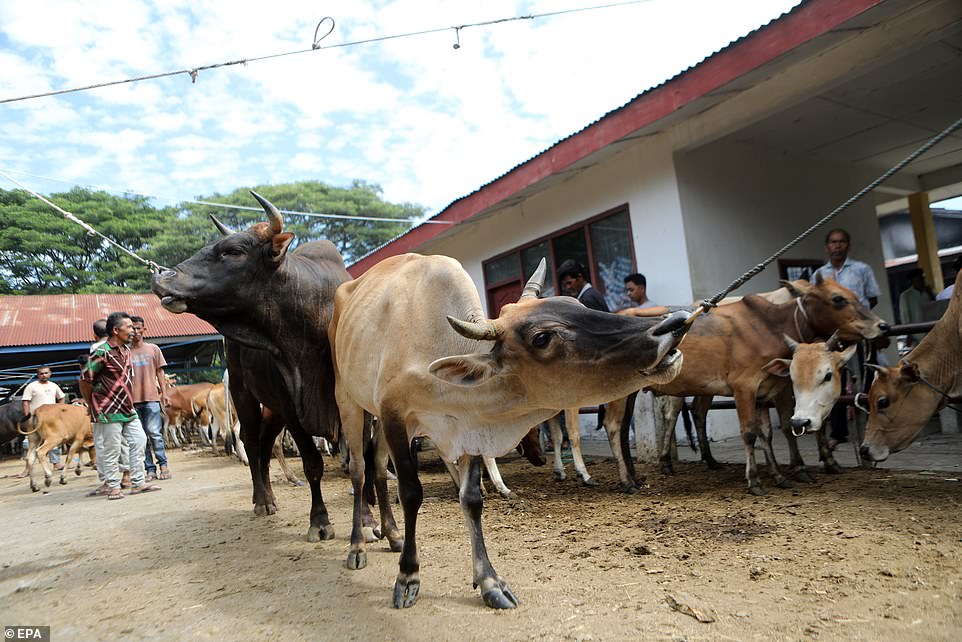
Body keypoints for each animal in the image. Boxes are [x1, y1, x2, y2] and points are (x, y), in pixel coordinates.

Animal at [153, 191, 352, 540]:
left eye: (233, 251)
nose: (163, 277)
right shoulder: (294, 410)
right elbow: (312, 463)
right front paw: (320, 521)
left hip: (271, 409)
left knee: (264, 443)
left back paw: (270, 496)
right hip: (245, 394)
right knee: (250, 439)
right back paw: (262, 500)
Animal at [326, 252, 688, 608]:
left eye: (576, 303)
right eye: (542, 338)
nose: (676, 322)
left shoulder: (468, 425)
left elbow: (471, 498)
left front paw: (489, 582)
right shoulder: (394, 415)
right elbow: (412, 493)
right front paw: (408, 577)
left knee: (376, 466)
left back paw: (393, 535)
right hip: (349, 401)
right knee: (359, 469)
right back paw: (357, 545)